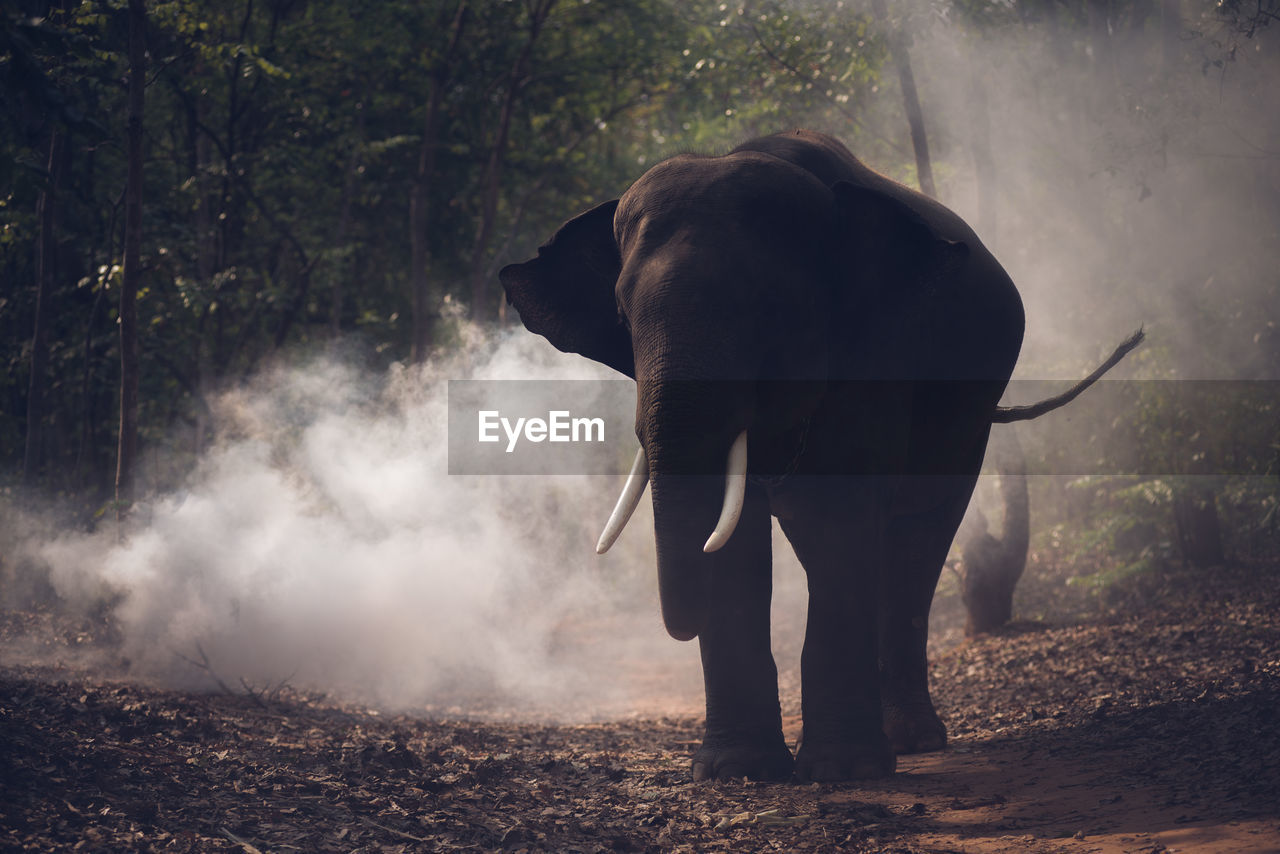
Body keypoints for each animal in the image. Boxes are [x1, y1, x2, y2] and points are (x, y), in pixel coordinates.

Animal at [496, 128, 1141, 783]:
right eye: (622, 316)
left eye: (765, 309)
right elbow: (738, 539)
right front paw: (737, 771)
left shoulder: (875, 353)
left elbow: (835, 516)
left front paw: (843, 769)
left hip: (971, 407)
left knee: (916, 539)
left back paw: (910, 742)